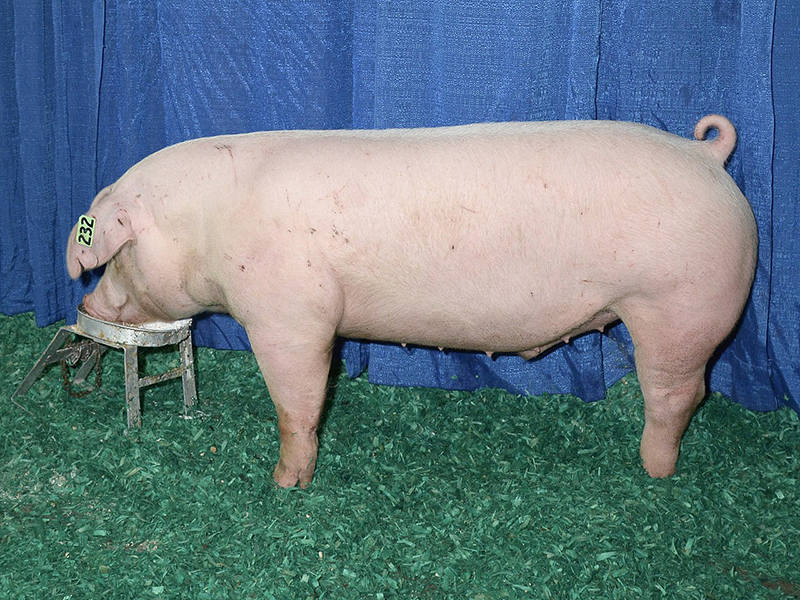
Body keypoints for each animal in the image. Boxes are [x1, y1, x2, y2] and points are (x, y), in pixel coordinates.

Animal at [67, 116, 756, 488]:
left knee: (679, 392)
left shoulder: (290, 313)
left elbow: (298, 402)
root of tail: (707, 153)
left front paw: (286, 483)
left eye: (116, 256)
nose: (89, 305)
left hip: (680, 304)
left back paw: (654, 470)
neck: (206, 227)